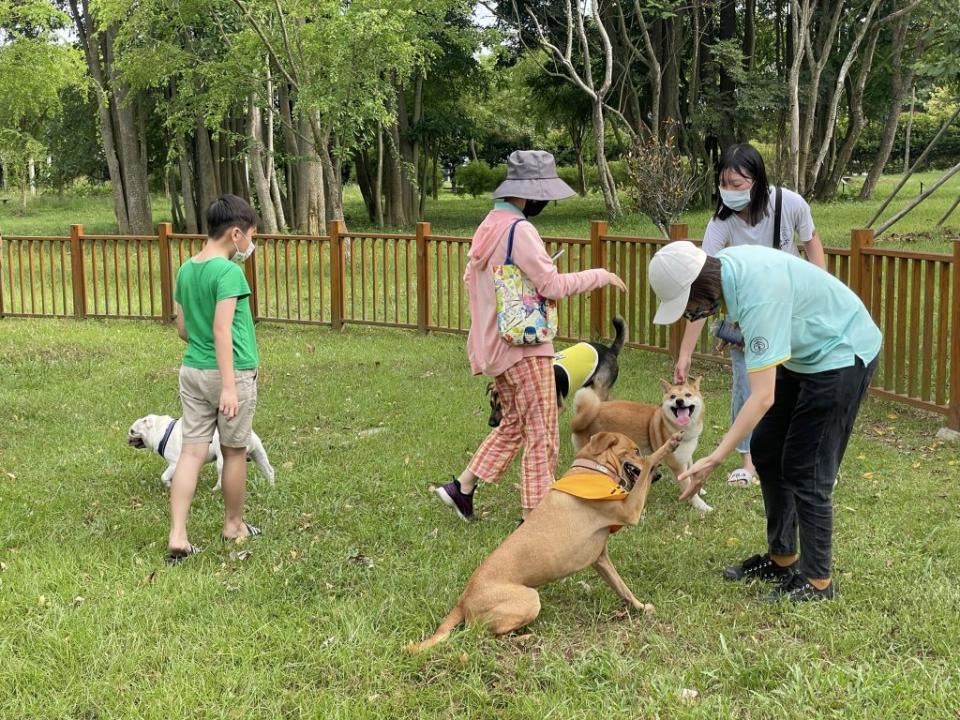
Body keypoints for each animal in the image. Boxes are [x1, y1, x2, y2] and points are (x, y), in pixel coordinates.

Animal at [126, 414, 274, 492]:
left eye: (133, 431)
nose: (128, 438)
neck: (161, 430)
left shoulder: (174, 464)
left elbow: (164, 476)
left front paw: (168, 485)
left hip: (222, 460)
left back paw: (216, 489)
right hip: (259, 454)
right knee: (269, 470)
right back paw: (271, 486)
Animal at [406, 430, 684, 656]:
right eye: (635, 450)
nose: (659, 476)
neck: (593, 469)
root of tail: (463, 599)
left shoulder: (601, 559)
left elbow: (624, 589)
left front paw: (640, 607)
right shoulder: (630, 510)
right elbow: (649, 462)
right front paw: (669, 444)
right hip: (529, 599)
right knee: (481, 636)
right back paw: (524, 638)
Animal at [484, 316, 628, 428]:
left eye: (502, 405)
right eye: (491, 404)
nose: (491, 423)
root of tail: (611, 350)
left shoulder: (558, 407)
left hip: (599, 389)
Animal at [568, 376, 712, 512]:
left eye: (688, 395)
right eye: (673, 397)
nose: (679, 401)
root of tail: (578, 420)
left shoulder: (687, 456)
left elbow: (691, 472)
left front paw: (699, 489)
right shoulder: (676, 464)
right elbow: (687, 485)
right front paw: (701, 505)